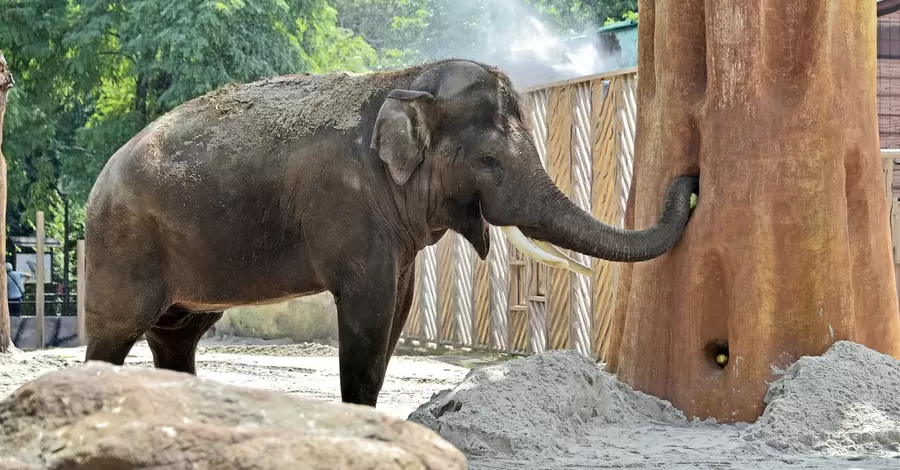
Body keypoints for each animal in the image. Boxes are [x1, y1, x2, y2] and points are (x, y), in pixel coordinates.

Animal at [84, 57, 700, 404]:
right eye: (489, 161)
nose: (692, 182)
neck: (401, 85)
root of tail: (101, 176)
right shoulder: (346, 206)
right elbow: (369, 312)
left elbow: (398, 312)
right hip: (121, 243)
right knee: (114, 337)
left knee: (177, 335)